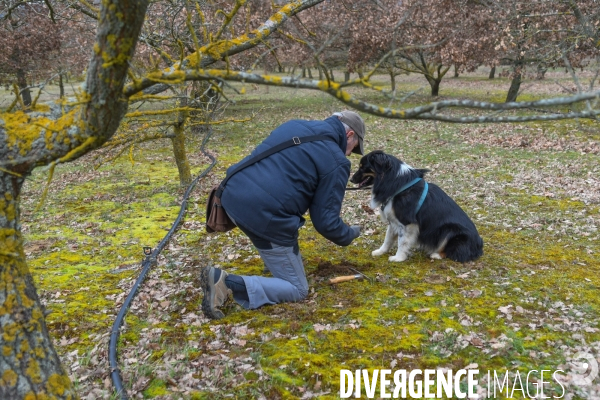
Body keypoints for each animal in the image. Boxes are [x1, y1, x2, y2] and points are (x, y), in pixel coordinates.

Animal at [352, 150, 482, 262]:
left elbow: (402, 241)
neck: (395, 182)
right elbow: (388, 238)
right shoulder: (394, 220)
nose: (351, 179)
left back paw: (436, 255)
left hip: (449, 231)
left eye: (362, 167)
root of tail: (479, 245)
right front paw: (380, 252)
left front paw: (398, 258)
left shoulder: (407, 222)